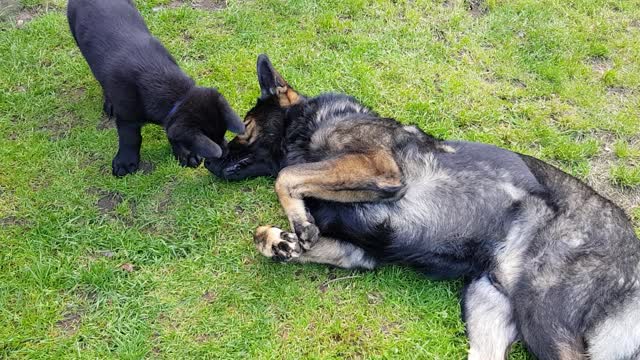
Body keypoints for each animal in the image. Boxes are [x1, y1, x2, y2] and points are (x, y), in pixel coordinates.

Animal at [67, 0, 242, 176]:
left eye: (223, 133)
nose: (227, 154)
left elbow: (171, 133)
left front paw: (186, 155)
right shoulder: (126, 116)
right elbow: (130, 138)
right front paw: (125, 163)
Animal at [206, 54, 640, 360]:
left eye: (244, 126)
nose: (208, 160)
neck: (311, 123)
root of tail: (631, 245)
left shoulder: (379, 169)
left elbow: (287, 174)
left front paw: (296, 220)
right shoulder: (358, 252)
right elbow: (268, 229)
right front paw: (281, 241)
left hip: (544, 317)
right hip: (486, 305)